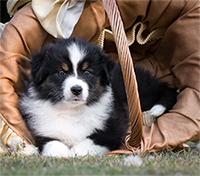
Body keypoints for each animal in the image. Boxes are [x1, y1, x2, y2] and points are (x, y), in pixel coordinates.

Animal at [19, 37, 178, 158]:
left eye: (87, 73)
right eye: (61, 72)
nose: (76, 89)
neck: (72, 110)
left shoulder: (113, 127)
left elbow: (90, 141)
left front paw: (74, 154)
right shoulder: (42, 130)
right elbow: (51, 142)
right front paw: (59, 154)